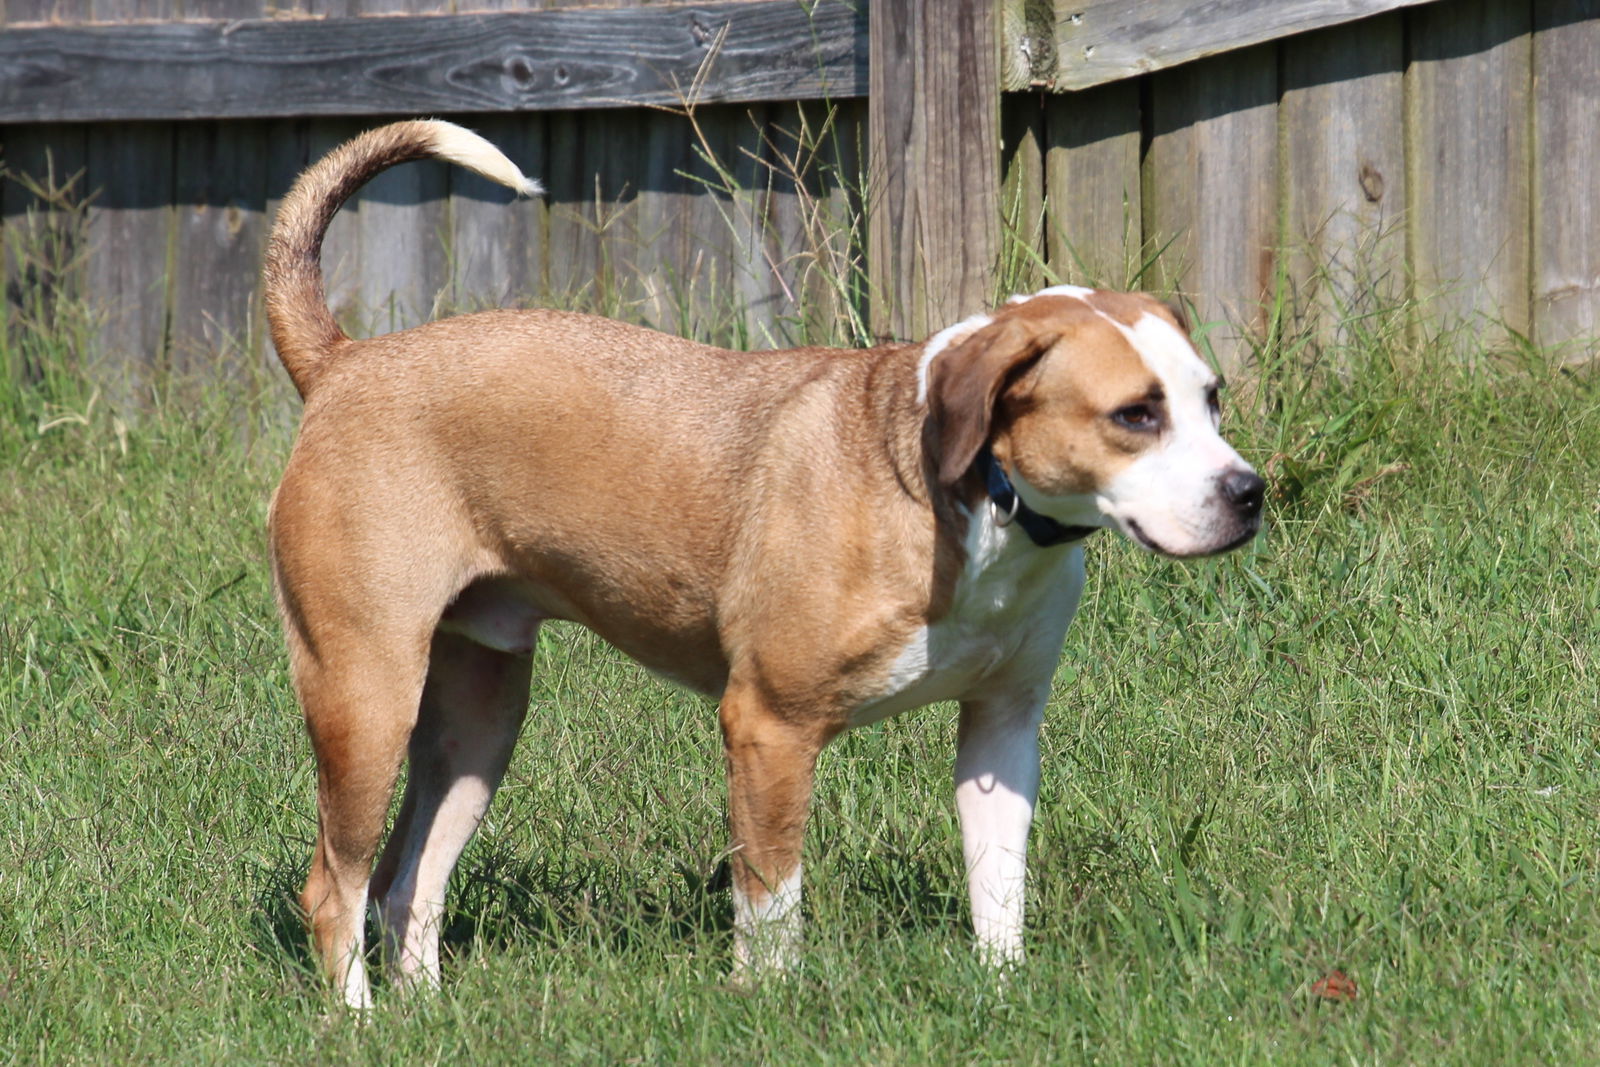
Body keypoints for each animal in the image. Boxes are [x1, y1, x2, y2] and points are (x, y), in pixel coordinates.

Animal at [262, 119, 1260, 1011]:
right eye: (1135, 415)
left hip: (478, 719)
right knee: (335, 886)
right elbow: (774, 901)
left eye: (1211, 399)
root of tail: (344, 362)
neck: (970, 503)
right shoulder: (771, 727)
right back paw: (358, 1018)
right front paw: (770, 999)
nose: (1249, 492)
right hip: (366, 696)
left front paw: (1003, 988)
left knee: (407, 883)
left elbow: (998, 888)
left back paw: (427, 1010)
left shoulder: (1002, 728)